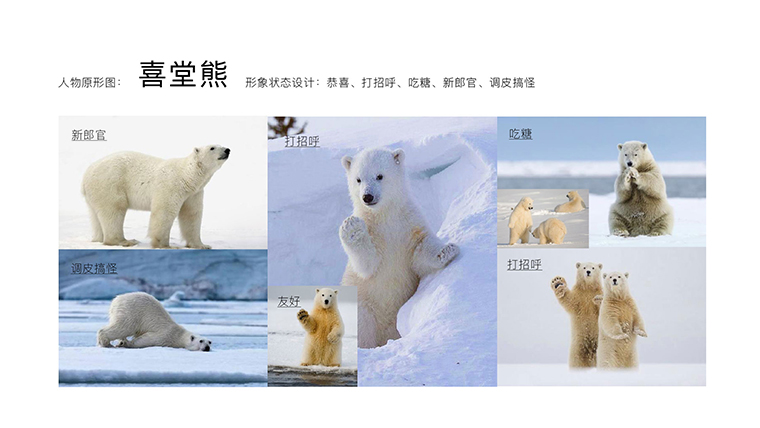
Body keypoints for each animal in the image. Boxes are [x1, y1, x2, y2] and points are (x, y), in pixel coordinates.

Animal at [81, 145, 230, 249]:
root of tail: (86, 174)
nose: (227, 150)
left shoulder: (194, 193)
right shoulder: (171, 185)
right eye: (212, 147)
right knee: (114, 210)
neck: (186, 176)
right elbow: (165, 211)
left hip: (94, 194)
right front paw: (165, 245)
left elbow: (191, 215)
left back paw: (98, 238)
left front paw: (202, 245)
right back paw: (125, 241)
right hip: (110, 184)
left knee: (96, 216)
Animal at [339, 147, 459, 348]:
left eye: (379, 176)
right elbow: (367, 265)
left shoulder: (408, 224)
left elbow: (420, 251)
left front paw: (448, 250)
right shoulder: (374, 232)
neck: (385, 216)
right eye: (358, 179)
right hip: (364, 306)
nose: (367, 197)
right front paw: (352, 228)